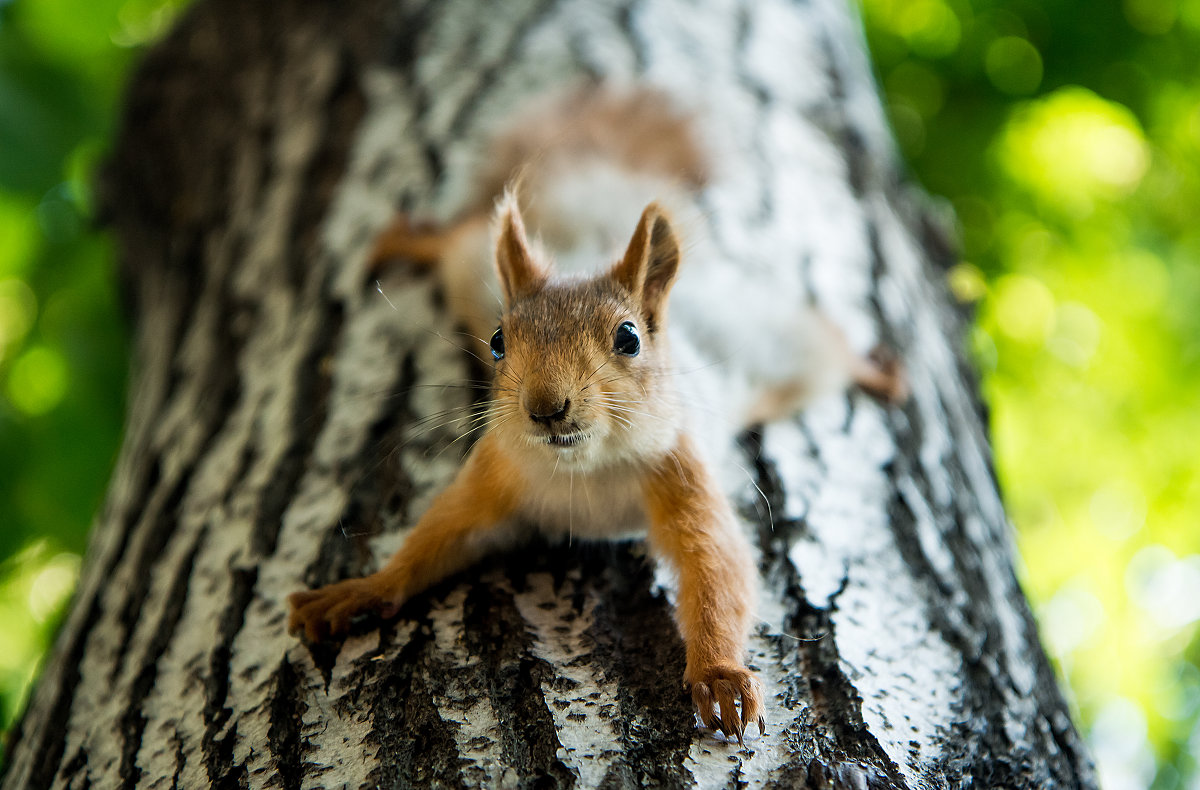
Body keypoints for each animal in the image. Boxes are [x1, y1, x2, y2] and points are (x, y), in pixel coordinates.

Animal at [288, 87, 902, 744]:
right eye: (498, 343)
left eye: (629, 338)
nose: (545, 407)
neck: (584, 471)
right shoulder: (493, 478)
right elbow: (435, 538)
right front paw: (359, 592)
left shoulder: (682, 472)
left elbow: (716, 568)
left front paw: (720, 676)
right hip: (469, 269)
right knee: (454, 235)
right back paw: (405, 238)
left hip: (787, 350)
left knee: (832, 348)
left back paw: (881, 373)